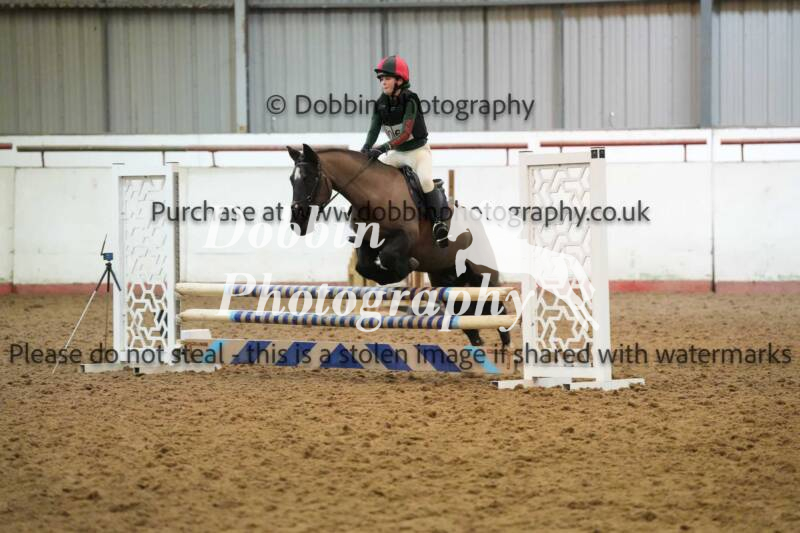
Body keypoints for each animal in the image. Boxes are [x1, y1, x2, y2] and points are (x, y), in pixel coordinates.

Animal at [287, 143, 511, 348]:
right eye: (291, 180)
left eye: (308, 178)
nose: (297, 221)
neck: (373, 193)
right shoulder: (366, 242)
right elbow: (364, 267)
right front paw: (390, 274)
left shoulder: (405, 237)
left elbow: (389, 257)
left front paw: (408, 265)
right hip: (444, 276)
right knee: (460, 306)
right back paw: (476, 337)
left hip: (481, 272)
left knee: (495, 300)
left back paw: (506, 342)